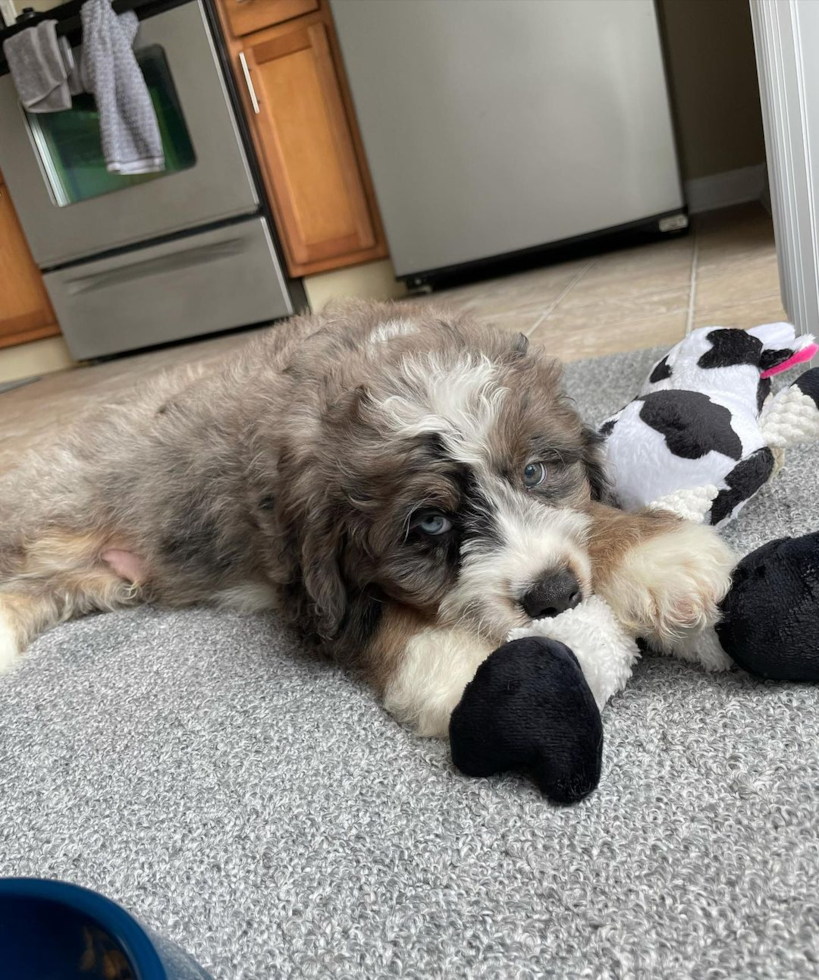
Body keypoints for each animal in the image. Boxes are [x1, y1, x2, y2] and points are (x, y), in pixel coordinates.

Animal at [0, 302, 732, 732]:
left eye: (533, 472)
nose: (554, 596)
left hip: (100, 578)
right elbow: (376, 616)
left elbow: (589, 515)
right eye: (429, 526)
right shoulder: (306, 578)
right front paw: (459, 669)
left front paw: (657, 559)